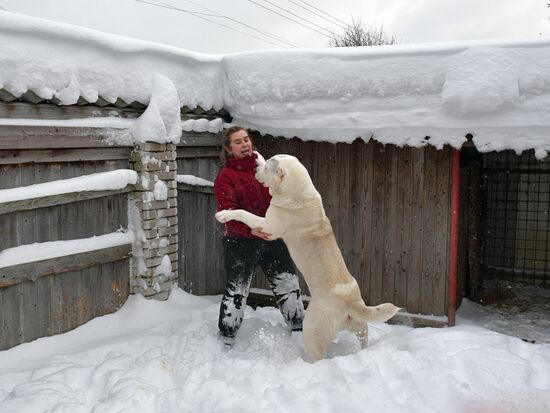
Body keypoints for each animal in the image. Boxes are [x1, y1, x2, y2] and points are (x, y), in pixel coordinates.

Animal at [217, 153, 402, 358]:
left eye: (266, 169)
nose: (256, 169)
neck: (298, 192)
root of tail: (350, 303)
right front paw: (258, 156)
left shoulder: (268, 226)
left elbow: (243, 213)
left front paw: (224, 214)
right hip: (361, 326)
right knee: (363, 339)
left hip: (313, 328)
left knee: (317, 355)